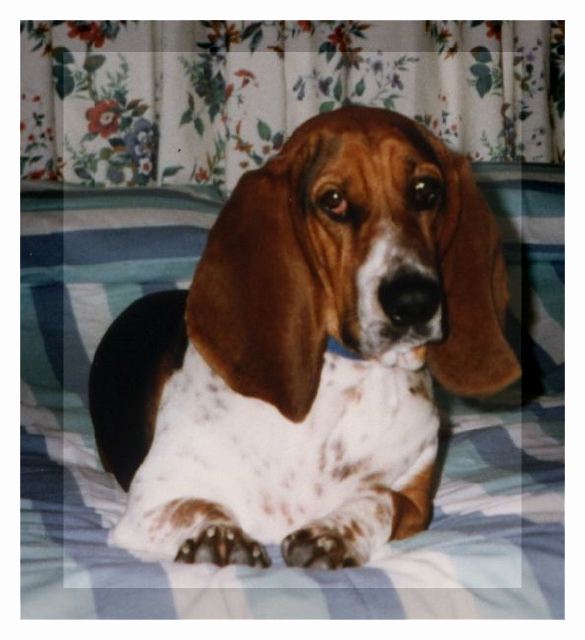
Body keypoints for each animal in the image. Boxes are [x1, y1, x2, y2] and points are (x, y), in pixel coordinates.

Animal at [89, 106, 516, 568]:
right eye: (333, 200)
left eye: (426, 190)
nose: (415, 299)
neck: (346, 379)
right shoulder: (154, 498)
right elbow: (198, 506)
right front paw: (218, 536)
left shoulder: (416, 500)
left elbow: (378, 498)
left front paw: (333, 533)